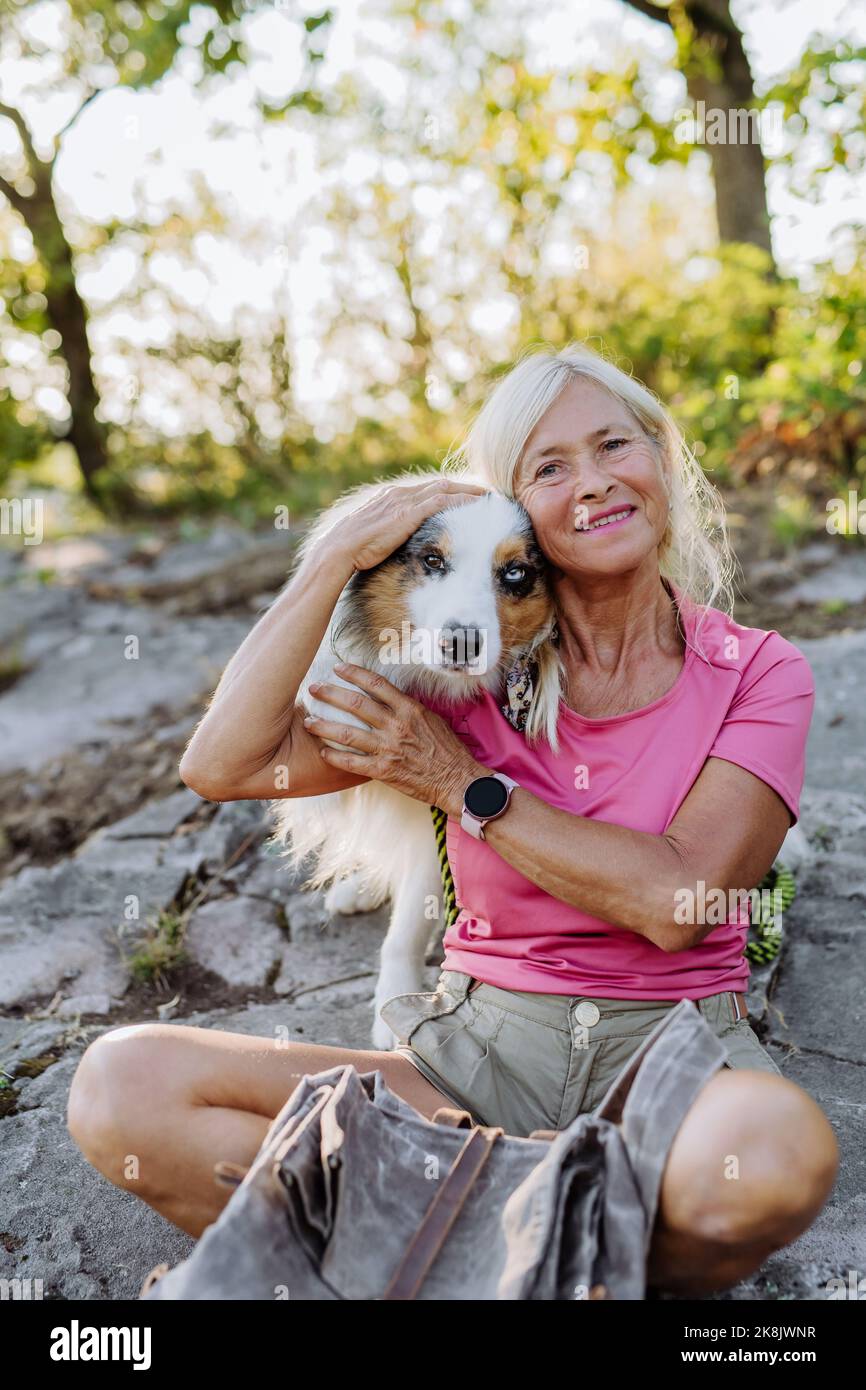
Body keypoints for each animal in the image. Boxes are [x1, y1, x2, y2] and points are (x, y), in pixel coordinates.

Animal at [268, 472, 558, 1045]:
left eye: (514, 572)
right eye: (432, 560)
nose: (461, 642)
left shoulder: (442, 816)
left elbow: (409, 922)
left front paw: (393, 1000)